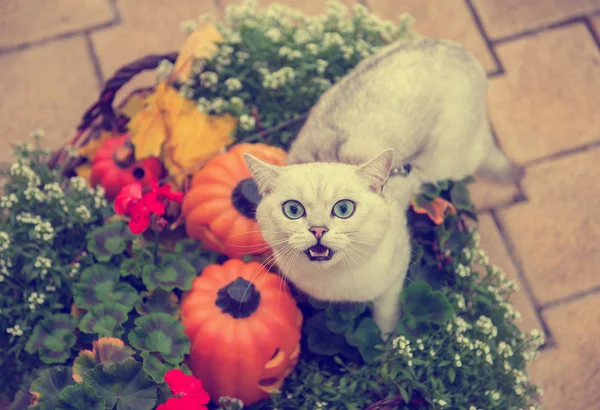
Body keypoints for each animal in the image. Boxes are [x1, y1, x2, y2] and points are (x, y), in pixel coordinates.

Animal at [241, 36, 524, 336]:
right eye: (293, 210)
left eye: (343, 209)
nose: (318, 230)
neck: (333, 283)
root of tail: (458, 50)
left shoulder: (394, 277)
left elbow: (386, 317)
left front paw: (389, 341)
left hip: (458, 161)